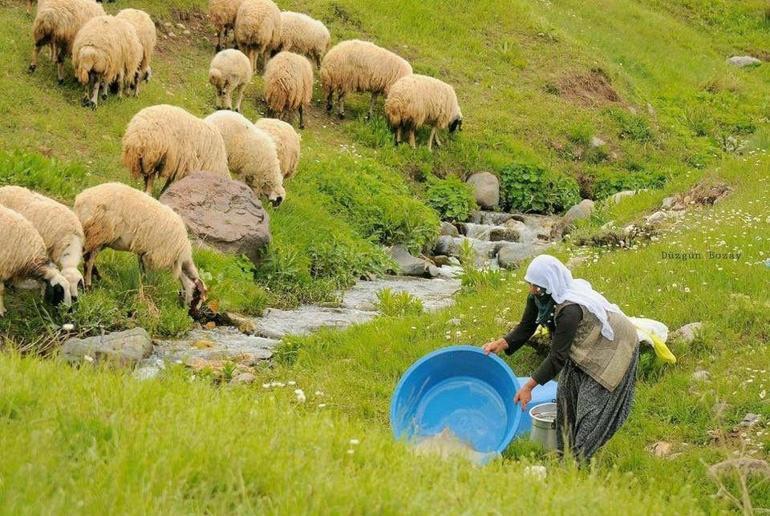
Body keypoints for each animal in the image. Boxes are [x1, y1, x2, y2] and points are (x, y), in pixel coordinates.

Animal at [74, 181, 207, 312]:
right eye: (197, 295)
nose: (192, 313)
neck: (180, 257)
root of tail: (81, 198)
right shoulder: (153, 256)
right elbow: (147, 277)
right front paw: (147, 290)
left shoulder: (143, 254)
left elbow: (142, 273)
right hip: (99, 231)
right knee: (88, 260)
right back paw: (88, 286)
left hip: (99, 237)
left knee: (87, 256)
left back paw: (97, 277)